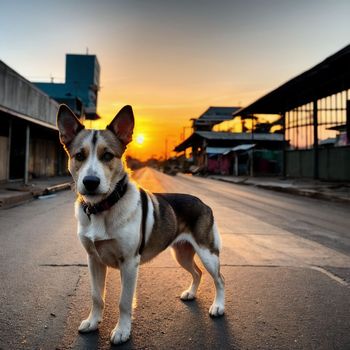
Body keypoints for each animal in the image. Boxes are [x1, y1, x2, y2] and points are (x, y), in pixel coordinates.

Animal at [56, 104, 226, 344]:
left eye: (107, 155)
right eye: (79, 156)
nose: (90, 182)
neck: (103, 207)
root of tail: (203, 202)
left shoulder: (129, 263)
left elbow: (124, 302)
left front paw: (122, 331)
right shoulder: (93, 260)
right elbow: (96, 296)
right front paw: (93, 322)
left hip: (207, 252)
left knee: (219, 279)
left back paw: (218, 306)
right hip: (181, 253)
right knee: (197, 273)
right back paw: (191, 293)